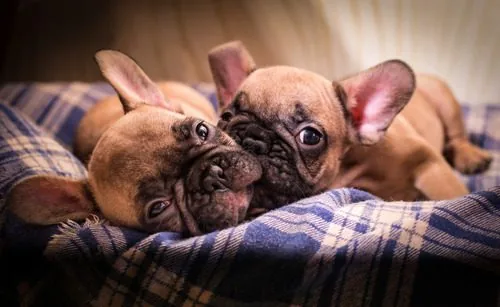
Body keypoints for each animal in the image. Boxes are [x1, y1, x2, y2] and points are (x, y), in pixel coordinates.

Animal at [208, 40, 492, 212]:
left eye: (310, 136)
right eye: (226, 116)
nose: (252, 138)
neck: (353, 170)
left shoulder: (429, 161)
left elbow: (452, 195)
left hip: (446, 100)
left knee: (458, 136)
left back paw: (471, 157)